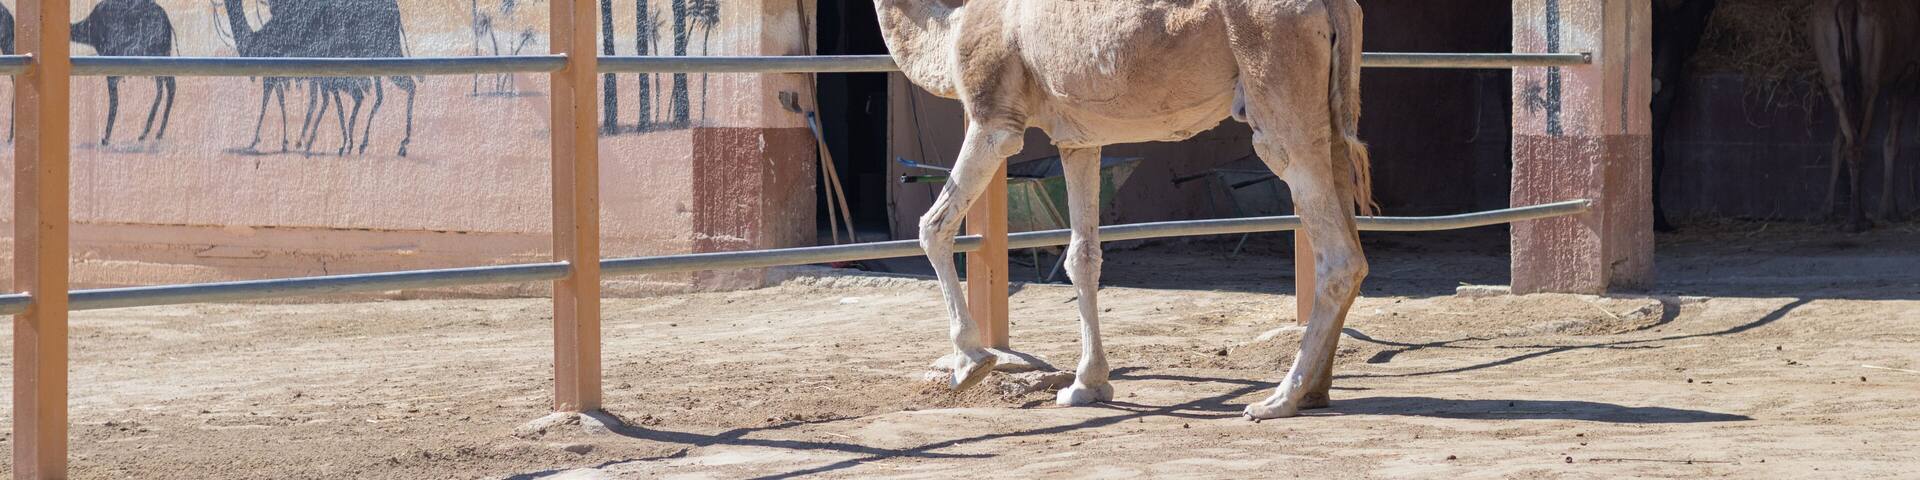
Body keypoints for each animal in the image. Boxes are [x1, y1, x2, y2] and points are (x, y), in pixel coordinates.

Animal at [71, 0, 178, 145]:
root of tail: (168, 23)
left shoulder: (110, 58)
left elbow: (114, 100)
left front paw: (106, 138)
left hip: (157, 52)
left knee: (169, 86)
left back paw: (154, 133)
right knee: (163, 87)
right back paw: (148, 134)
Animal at [877, 0, 1371, 419]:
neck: (953, 23)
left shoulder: (994, 120)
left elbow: (933, 227)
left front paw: (970, 362)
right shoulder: (1079, 139)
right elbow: (1082, 257)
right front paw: (1086, 385)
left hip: (1277, 91)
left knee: (1337, 253)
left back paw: (1279, 399)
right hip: (1332, 110)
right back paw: (1315, 392)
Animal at [1809, 0, 1920, 230]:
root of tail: (1846, 6)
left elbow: (1838, 142)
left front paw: (1826, 209)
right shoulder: (1909, 70)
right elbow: (1891, 142)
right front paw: (1890, 209)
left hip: (1835, 79)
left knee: (1849, 140)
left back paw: (1838, 212)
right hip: (1870, 81)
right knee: (1859, 142)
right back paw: (1857, 218)